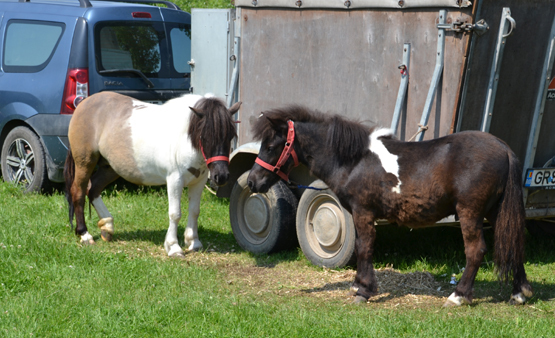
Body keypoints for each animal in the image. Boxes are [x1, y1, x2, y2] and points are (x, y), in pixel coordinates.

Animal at [63, 92, 241, 256]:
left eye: (230, 135)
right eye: (204, 136)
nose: (222, 176)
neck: (184, 138)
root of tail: (83, 104)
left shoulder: (199, 181)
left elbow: (194, 211)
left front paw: (193, 242)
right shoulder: (175, 180)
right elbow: (175, 214)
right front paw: (173, 247)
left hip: (110, 167)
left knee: (93, 189)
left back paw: (107, 226)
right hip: (85, 163)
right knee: (78, 192)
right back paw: (85, 234)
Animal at [248, 105, 536, 306]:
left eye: (271, 145)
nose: (252, 181)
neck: (354, 160)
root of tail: (502, 147)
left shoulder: (363, 213)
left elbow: (364, 248)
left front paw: (364, 291)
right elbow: (363, 248)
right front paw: (358, 286)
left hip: (470, 213)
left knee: (476, 251)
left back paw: (458, 296)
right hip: (496, 212)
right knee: (515, 243)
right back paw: (519, 293)